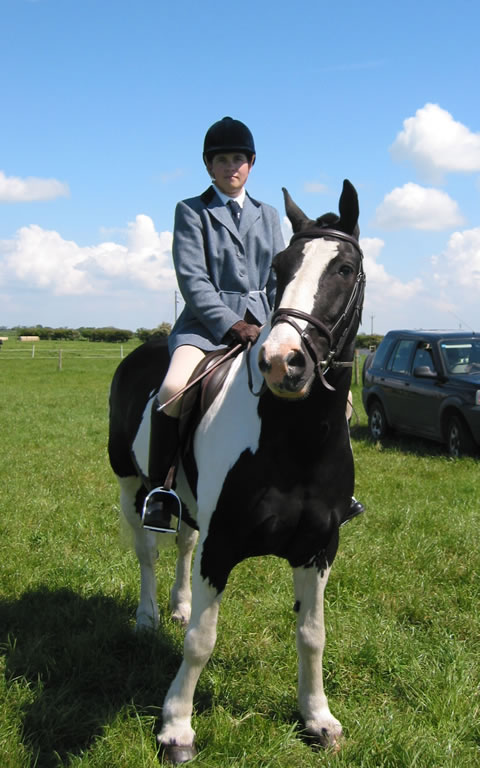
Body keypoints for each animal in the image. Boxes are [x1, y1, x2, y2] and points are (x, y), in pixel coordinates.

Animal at [108, 178, 364, 760]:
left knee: (182, 543)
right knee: (147, 552)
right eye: (281, 268)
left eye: (344, 268)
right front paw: (176, 727)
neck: (294, 443)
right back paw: (147, 617)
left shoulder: (319, 547)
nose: (282, 361)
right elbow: (201, 641)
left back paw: (177, 606)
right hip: (131, 484)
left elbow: (313, 636)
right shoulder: (221, 545)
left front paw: (318, 719)